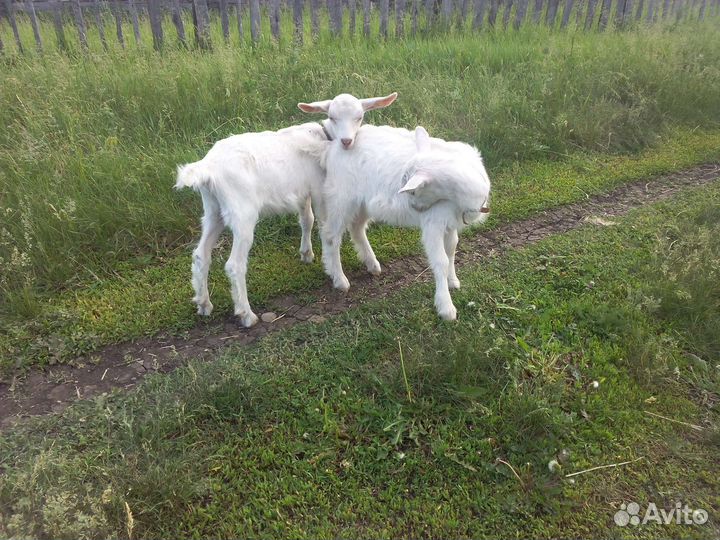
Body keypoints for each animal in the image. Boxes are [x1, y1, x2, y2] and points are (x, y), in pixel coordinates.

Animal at [175, 93, 397, 327]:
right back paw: (246, 315)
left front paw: (306, 254)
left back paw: (203, 304)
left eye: (359, 116)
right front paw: (333, 270)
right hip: (242, 212)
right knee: (234, 265)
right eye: (332, 116)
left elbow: (307, 220)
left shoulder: (302, 191)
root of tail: (207, 168)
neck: (323, 137)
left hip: (213, 209)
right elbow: (324, 225)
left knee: (201, 255)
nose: (346, 141)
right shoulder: (320, 188)